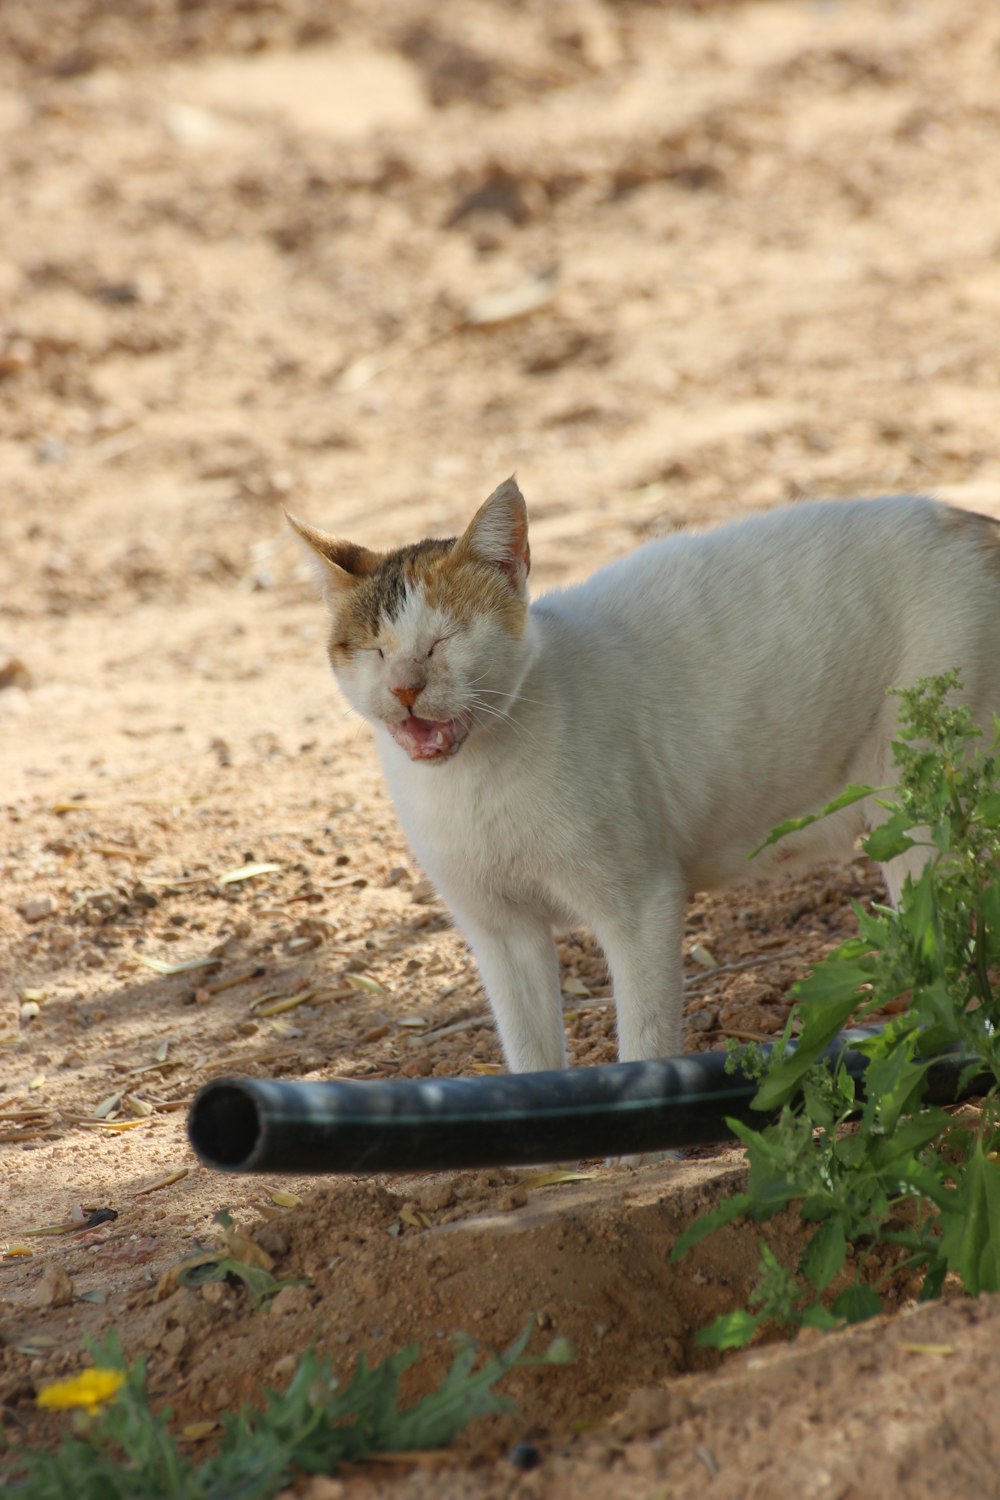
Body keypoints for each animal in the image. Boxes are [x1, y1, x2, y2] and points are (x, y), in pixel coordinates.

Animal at [287, 474, 1000, 1074]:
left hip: (918, 816)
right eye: (375, 651)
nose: (405, 689)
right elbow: (531, 1061)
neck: (474, 785)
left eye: (444, 641)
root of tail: (974, 523)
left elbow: (644, 1051)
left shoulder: (641, 907)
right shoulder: (499, 932)